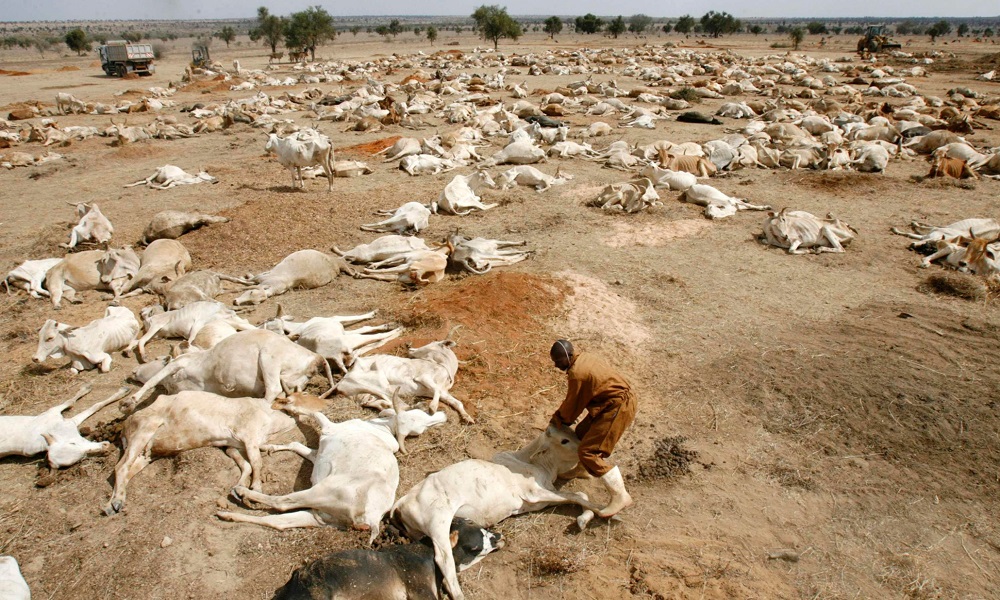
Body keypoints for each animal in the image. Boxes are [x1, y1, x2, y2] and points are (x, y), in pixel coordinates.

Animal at [102, 392, 296, 512]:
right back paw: (117, 501)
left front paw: (238, 489)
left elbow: (246, 465)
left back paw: (111, 505)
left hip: (146, 454)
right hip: (143, 431)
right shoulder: (248, 434)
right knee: (120, 467)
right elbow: (256, 462)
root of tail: (126, 423)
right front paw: (256, 487)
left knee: (125, 472)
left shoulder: (235, 445)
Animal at [221, 394, 448, 540]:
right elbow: (296, 445)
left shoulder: (329, 427)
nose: (442, 416)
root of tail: (370, 519)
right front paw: (269, 447)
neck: (381, 430)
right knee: (277, 522)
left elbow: (313, 413)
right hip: (322, 517)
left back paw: (243, 492)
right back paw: (227, 515)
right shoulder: (318, 454)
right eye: (418, 417)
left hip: (320, 492)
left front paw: (288, 405)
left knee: (282, 503)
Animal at [394, 422, 604, 600]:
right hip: (439, 524)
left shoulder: (544, 498)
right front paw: (601, 511)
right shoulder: (535, 493)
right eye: (564, 440)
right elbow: (578, 496)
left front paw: (583, 519)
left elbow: (579, 495)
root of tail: (401, 503)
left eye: (573, 432)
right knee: (444, 560)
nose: (588, 450)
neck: (534, 462)